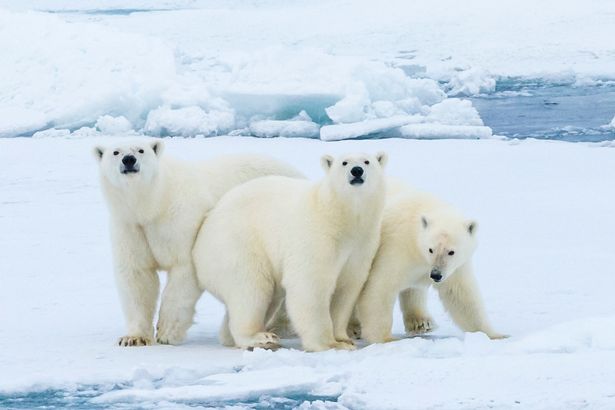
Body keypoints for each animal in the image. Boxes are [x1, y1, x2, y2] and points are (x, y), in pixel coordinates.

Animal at [94, 139, 304, 346]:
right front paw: (133, 338)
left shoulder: (182, 221)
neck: (154, 204)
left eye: (141, 150)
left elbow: (184, 269)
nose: (129, 160)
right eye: (115, 152)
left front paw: (167, 333)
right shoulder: (131, 227)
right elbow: (137, 275)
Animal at [192, 152, 388, 350]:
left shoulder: (361, 245)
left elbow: (347, 288)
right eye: (344, 162)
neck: (340, 216)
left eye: (367, 161)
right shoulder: (317, 236)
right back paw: (261, 338)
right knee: (252, 289)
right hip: (237, 245)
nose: (357, 171)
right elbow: (311, 285)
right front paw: (328, 344)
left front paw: (344, 339)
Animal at [356, 181, 506, 344]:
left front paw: (495, 335)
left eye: (451, 251)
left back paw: (421, 322)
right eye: (431, 249)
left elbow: (461, 296)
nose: (436, 275)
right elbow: (380, 287)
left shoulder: (455, 268)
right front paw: (386, 339)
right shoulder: (396, 248)